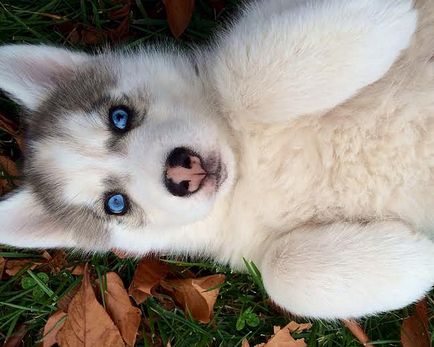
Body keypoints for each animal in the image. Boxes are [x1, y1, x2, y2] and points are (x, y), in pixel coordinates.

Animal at [0, 0, 434, 320]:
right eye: (115, 204)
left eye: (118, 117)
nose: (182, 171)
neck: (248, 160)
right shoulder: (252, 247)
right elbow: (280, 271)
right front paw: (416, 260)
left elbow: (238, 80)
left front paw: (383, 16)